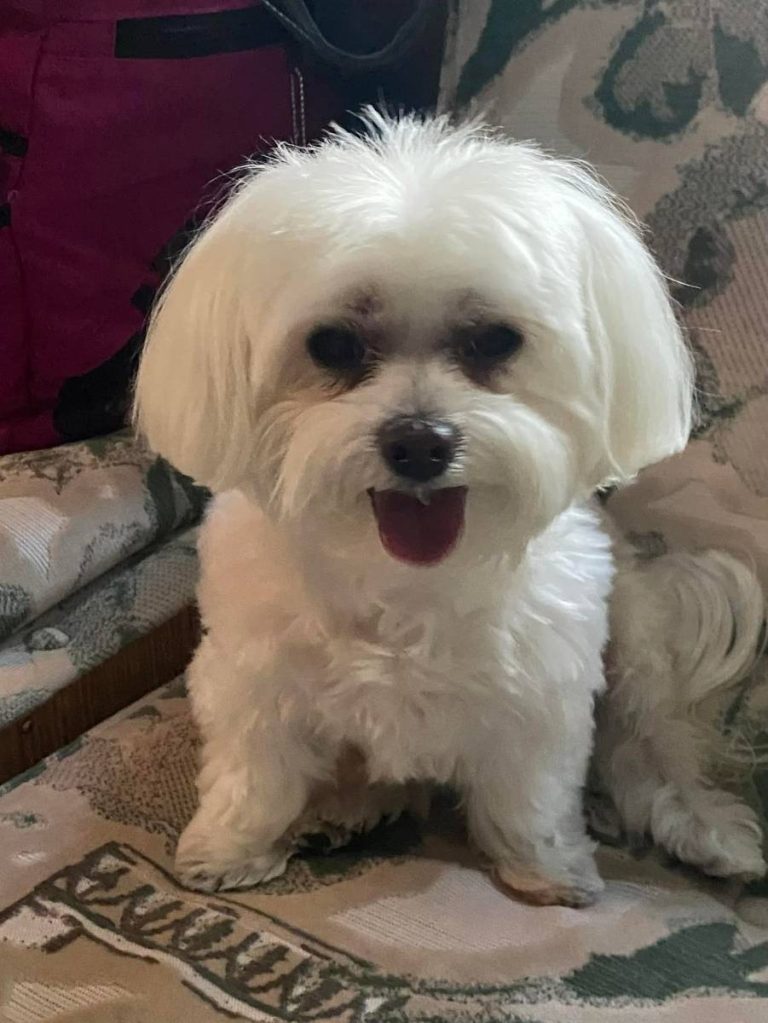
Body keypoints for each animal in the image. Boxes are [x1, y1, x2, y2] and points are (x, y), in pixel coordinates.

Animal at [134, 113, 766, 905]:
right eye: (332, 343)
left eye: (494, 339)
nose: (419, 443)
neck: (404, 574)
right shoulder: (255, 679)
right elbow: (255, 775)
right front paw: (229, 849)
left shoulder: (542, 691)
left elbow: (532, 795)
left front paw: (548, 870)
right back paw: (350, 805)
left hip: (634, 644)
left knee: (647, 747)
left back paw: (700, 830)